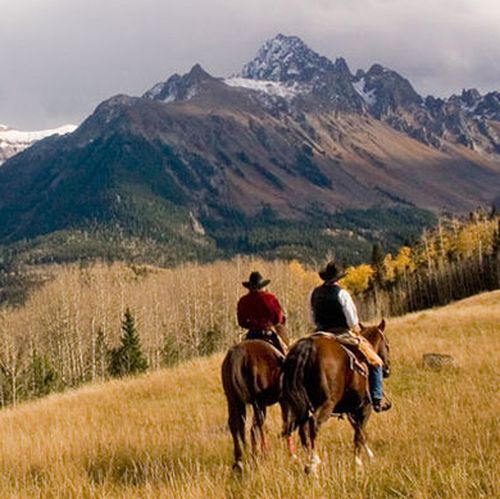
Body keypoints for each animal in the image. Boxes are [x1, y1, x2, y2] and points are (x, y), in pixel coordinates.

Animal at [222, 334, 290, 474]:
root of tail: (239, 354)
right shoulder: (284, 401)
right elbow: (286, 424)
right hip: (259, 404)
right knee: (254, 428)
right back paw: (256, 457)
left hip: (233, 401)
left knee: (236, 427)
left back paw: (239, 461)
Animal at [282, 322, 390, 474]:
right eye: (387, 344)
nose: (387, 369)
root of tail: (309, 347)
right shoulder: (364, 407)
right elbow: (359, 433)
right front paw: (358, 463)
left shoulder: (350, 411)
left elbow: (358, 431)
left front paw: (368, 456)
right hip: (327, 404)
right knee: (314, 423)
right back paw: (314, 462)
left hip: (299, 407)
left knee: (303, 430)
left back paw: (308, 463)